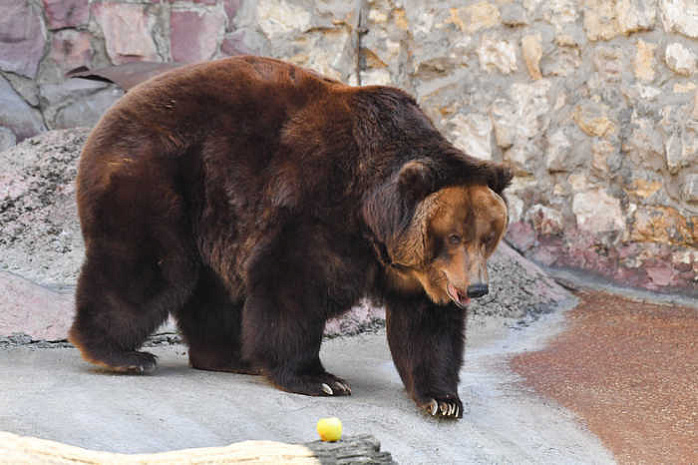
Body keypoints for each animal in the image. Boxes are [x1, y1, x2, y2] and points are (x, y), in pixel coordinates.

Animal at [66, 56, 512, 418]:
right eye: (453, 236)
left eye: (486, 237)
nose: (476, 288)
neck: (373, 214)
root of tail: (110, 114)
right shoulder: (320, 205)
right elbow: (292, 287)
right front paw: (320, 378)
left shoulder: (413, 270)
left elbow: (426, 325)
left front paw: (442, 398)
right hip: (159, 175)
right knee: (152, 266)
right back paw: (121, 353)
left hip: (213, 212)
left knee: (211, 288)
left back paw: (230, 355)